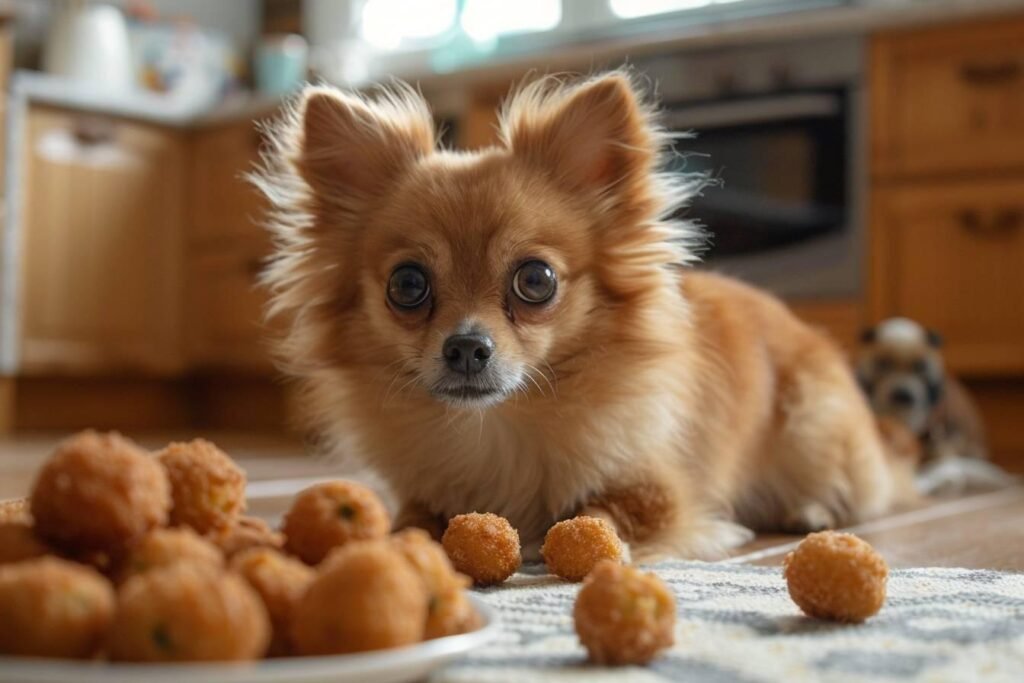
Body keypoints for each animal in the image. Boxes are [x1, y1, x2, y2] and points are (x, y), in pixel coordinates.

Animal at [258, 72, 913, 557]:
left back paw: (812, 508)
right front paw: (393, 535)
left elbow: (607, 512)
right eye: (408, 284)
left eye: (536, 280)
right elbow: (414, 517)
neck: (498, 429)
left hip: (814, 428)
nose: (466, 346)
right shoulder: (425, 491)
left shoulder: (659, 493)